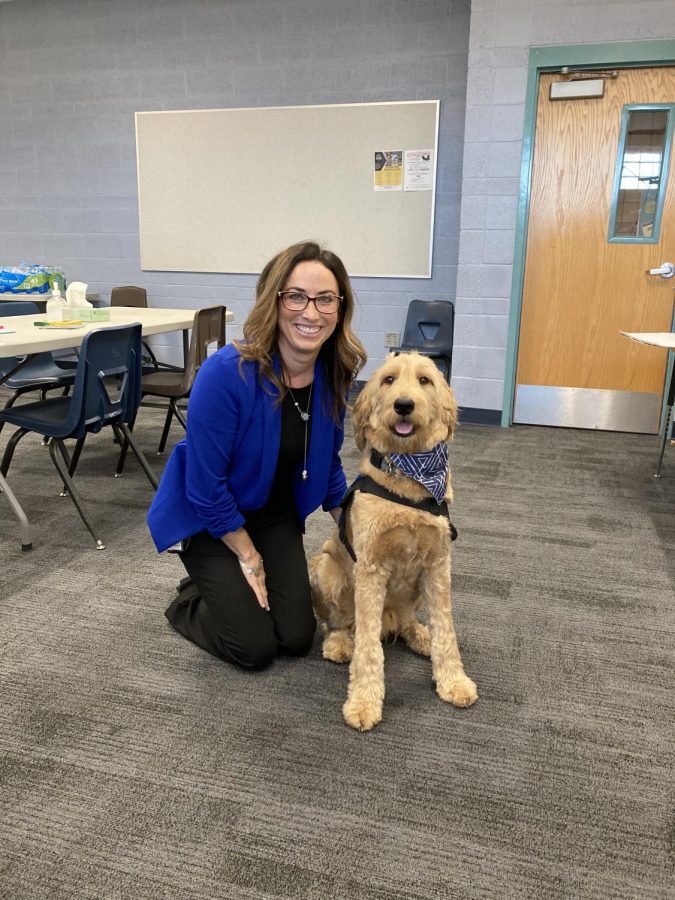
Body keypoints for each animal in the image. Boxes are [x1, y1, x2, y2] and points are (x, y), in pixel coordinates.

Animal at [308, 352, 478, 732]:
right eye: (388, 380)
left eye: (425, 380)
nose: (403, 405)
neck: (409, 478)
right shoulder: (371, 570)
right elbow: (368, 645)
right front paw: (363, 703)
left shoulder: (438, 566)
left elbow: (447, 630)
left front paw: (454, 681)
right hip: (326, 567)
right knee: (343, 623)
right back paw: (340, 642)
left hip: (413, 591)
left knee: (406, 621)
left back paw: (420, 635)